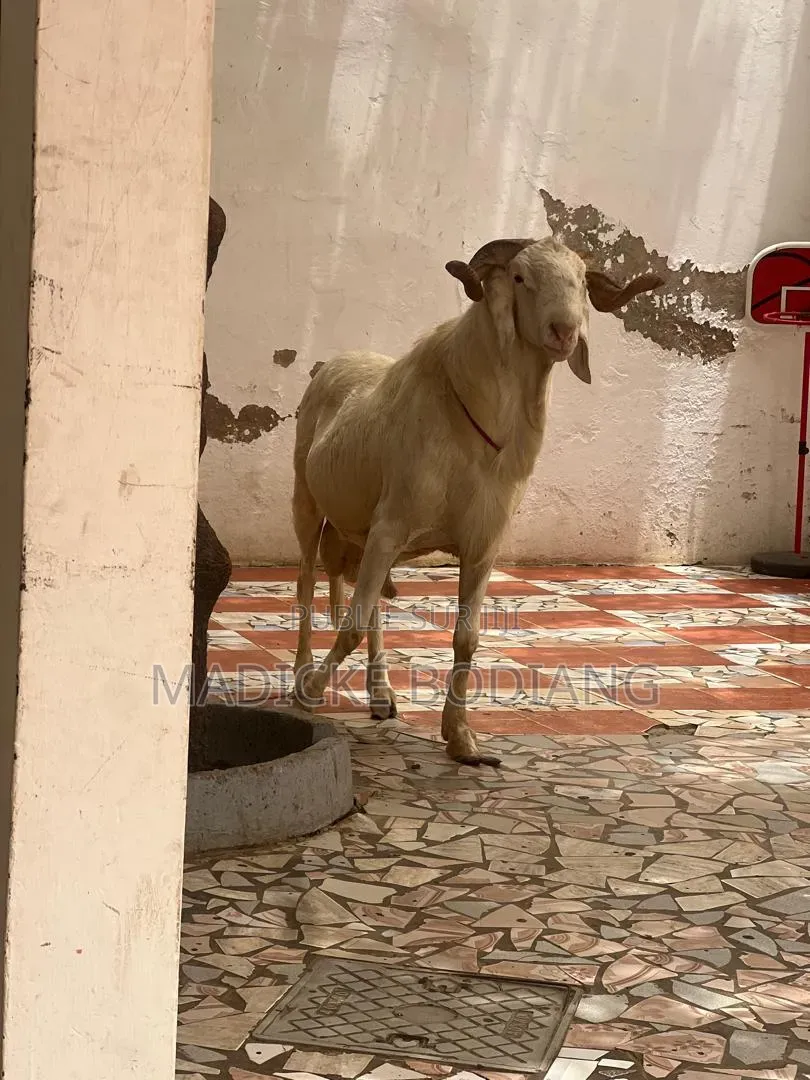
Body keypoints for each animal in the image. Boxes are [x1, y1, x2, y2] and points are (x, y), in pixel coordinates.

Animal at [291, 236, 664, 766]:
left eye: (581, 282)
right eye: (521, 277)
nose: (564, 332)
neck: (472, 427)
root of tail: (330, 365)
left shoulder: (480, 544)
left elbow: (465, 639)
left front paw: (462, 739)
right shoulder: (390, 527)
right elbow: (352, 624)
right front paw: (313, 691)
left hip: (362, 536)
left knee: (370, 604)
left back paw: (382, 695)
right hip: (307, 503)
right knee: (305, 586)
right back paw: (303, 675)